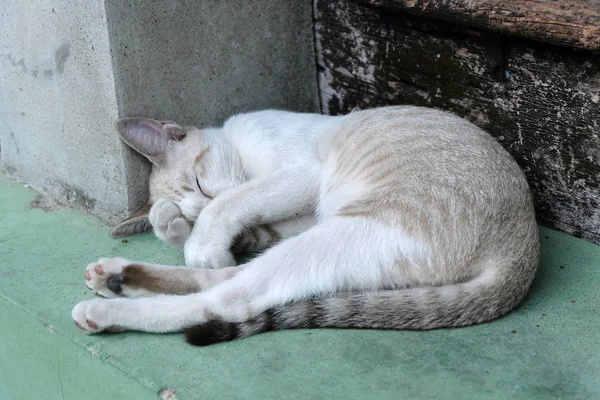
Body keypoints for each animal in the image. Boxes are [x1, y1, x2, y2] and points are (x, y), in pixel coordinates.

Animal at [71, 105, 540, 344]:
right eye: (194, 198)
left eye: (202, 185)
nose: (192, 215)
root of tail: (524, 251)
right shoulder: (293, 219)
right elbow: (228, 236)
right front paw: (173, 226)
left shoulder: (299, 177)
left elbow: (231, 207)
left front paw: (198, 237)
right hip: (328, 239)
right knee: (232, 282)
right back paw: (114, 277)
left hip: (343, 233)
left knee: (230, 299)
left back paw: (105, 308)